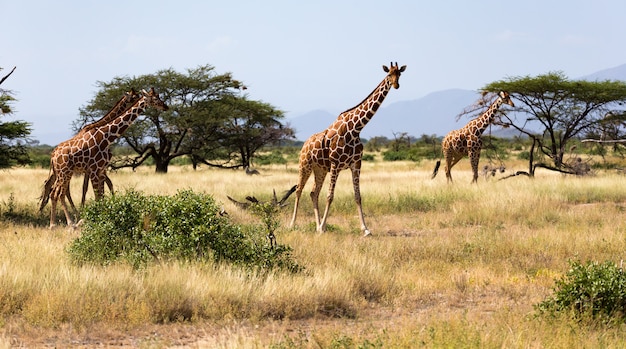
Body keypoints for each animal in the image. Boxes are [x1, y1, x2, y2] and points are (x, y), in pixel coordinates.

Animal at [44, 88, 168, 227]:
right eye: (155, 98)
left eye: (159, 96)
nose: (166, 106)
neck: (106, 137)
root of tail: (53, 155)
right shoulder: (93, 170)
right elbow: (95, 194)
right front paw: (90, 219)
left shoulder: (100, 169)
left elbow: (102, 192)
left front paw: (100, 217)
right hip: (64, 172)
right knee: (57, 192)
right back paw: (63, 223)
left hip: (64, 173)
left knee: (56, 191)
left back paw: (59, 222)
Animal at [290, 62, 408, 237]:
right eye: (389, 75)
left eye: (399, 74)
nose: (396, 85)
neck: (356, 128)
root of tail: (304, 144)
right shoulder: (335, 164)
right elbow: (330, 196)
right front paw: (324, 227)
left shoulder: (356, 164)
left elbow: (358, 196)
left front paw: (365, 229)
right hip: (305, 165)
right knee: (298, 190)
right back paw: (293, 224)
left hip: (320, 169)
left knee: (313, 193)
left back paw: (316, 225)